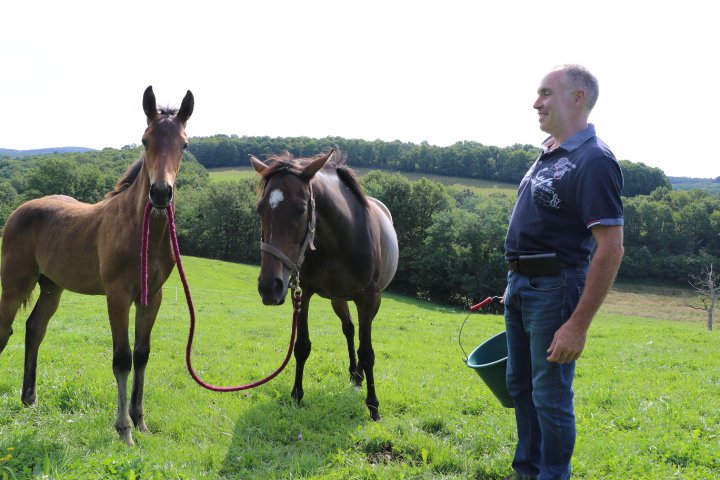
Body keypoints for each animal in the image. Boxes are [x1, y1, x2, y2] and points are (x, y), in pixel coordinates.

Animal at [0, 86, 193, 446]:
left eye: (184, 144)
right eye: (145, 140)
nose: (161, 193)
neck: (141, 229)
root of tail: (20, 209)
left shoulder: (152, 298)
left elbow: (142, 354)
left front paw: (141, 422)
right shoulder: (117, 296)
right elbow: (122, 358)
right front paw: (124, 430)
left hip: (52, 287)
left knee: (35, 329)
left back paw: (29, 398)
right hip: (15, 284)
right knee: (5, 330)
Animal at [250, 149, 399, 421]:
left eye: (301, 209)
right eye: (259, 209)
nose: (269, 287)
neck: (342, 239)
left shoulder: (368, 299)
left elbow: (368, 352)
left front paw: (373, 406)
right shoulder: (303, 292)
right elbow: (302, 346)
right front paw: (297, 395)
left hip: (368, 302)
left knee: (361, 336)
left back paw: (360, 376)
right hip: (339, 299)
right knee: (349, 329)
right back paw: (355, 374)